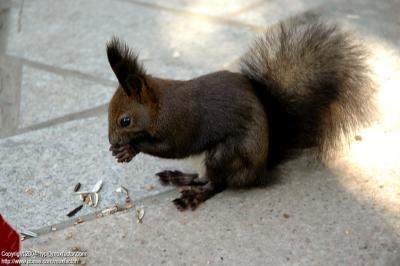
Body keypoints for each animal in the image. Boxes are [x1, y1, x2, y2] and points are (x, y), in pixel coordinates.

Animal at [106, 18, 376, 211]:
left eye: (125, 121)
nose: (112, 141)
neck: (159, 106)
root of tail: (260, 170)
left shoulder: (181, 124)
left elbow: (170, 148)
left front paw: (130, 149)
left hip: (224, 154)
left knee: (218, 184)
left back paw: (194, 196)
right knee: (202, 177)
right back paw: (179, 177)